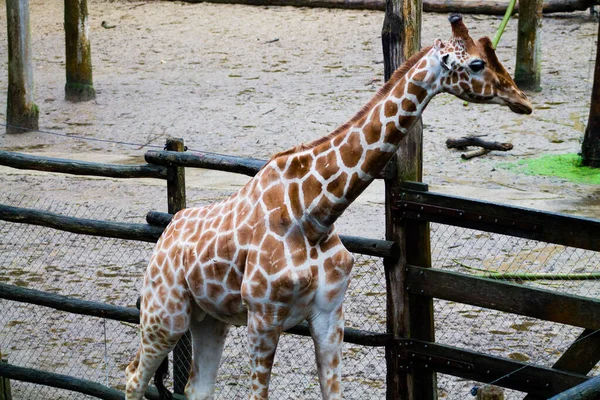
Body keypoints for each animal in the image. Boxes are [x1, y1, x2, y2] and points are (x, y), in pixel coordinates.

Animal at [125, 14, 528, 400]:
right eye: (477, 63)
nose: (522, 99)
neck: (315, 214)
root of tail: (164, 236)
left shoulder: (330, 314)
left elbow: (332, 392)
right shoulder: (263, 317)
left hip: (209, 318)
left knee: (197, 388)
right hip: (166, 313)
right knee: (133, 377)